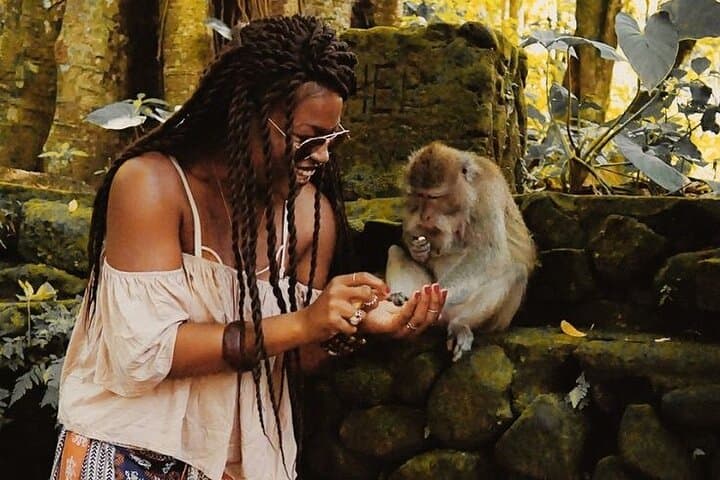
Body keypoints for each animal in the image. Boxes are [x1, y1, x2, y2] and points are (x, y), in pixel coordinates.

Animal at [385, 141, 536, 361]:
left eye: (434, 196)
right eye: (420, 195)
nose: (425, 216)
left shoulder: (486, 194)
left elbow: (487, 254)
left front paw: (431, 298)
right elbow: (409, 238)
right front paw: (418, 249)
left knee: (515, 272)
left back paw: (459, 324)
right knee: (395, 251)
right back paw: (400, 298)